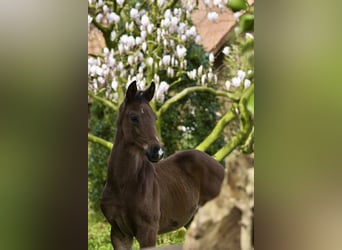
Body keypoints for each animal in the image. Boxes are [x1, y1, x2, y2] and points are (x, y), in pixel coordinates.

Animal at [101, 81, 224, 249]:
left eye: (154, 117)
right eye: (134, 117)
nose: (157, 152)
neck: (123, 184)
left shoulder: (148, 231)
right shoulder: (119, 233)